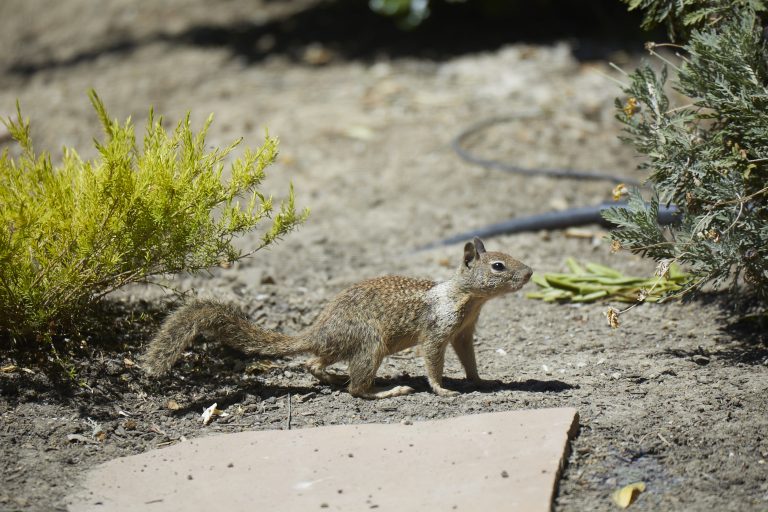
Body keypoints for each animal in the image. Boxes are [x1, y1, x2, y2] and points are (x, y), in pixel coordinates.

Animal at [142, 237, 533, 399]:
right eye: (498, 266)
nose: (529, 272)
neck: (468, 299)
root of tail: (316, 332)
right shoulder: (437, 330)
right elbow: (433, 359)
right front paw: (442, 388)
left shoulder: (464, 332)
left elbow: (469, 357)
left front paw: (480, 380)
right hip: (370, 343)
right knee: (356, 390)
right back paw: (388, 390)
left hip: (342, 347)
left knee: (313, 363)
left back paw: (329, 377)